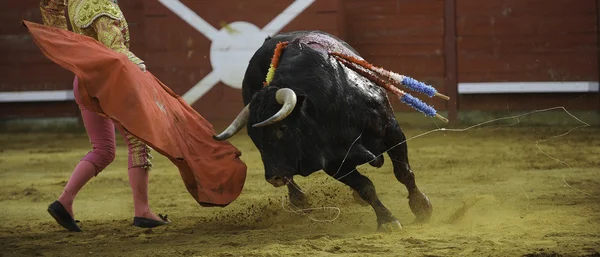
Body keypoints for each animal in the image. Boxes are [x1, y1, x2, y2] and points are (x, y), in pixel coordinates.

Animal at [211, 30, 432, 230]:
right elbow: (365, 187)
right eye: (255, 138)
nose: (273, 178)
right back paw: (300, 199)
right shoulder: (334, 162)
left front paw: (421, 207)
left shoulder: (391, 131)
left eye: (282, 127)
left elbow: (403, 172)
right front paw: (387, 220)